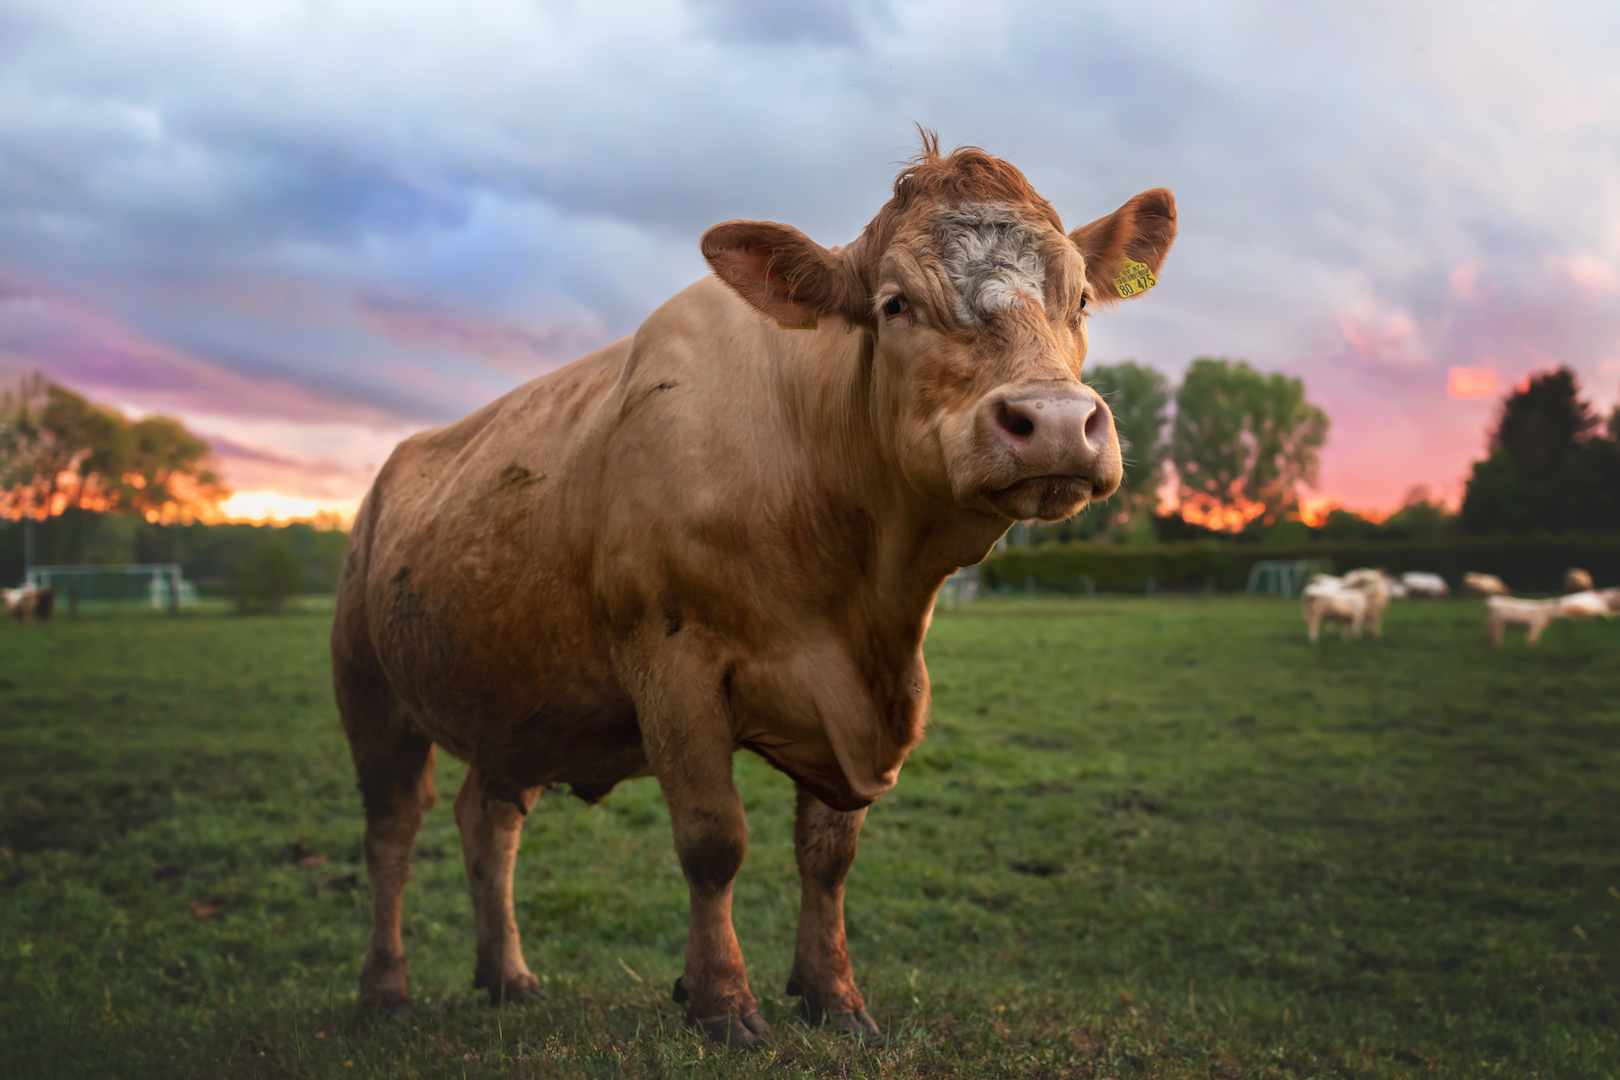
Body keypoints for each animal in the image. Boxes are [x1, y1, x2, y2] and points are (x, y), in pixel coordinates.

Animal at [328, 137, 1172, 1049]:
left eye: (1080, 298)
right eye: (895, 304)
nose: (1053, 422)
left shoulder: (860, 704)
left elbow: (829, 855)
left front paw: (834, 995)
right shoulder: (673, 667)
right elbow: (713, 841)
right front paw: (722, 1001)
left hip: (513, 709)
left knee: (488, 824)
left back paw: (508, 978)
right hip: (369, 691)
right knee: (391, 832)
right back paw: (384, 990)